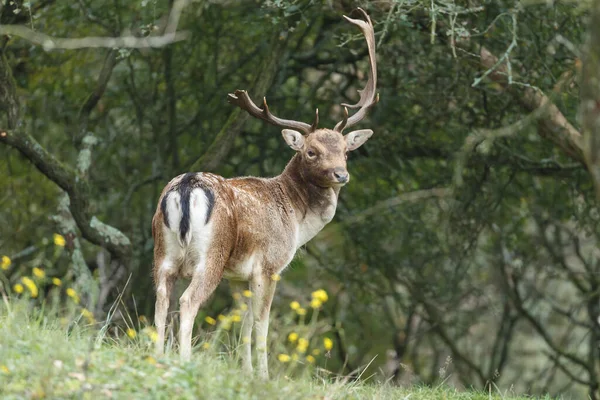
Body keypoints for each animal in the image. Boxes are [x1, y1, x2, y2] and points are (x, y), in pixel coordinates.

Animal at [152, 8, 378, 378]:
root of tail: (187, 187)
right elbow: (261, 324)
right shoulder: (270, 265)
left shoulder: (239, 276)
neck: (297, 222)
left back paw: (155, 357)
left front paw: (245, 371)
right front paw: (263, 376)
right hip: (211, 254)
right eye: (311, 152)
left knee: (160, 300)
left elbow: (243, 324)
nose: (341, 175)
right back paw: (184, 362)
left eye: (345, 150)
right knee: (187, 302)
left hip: (162, 251)